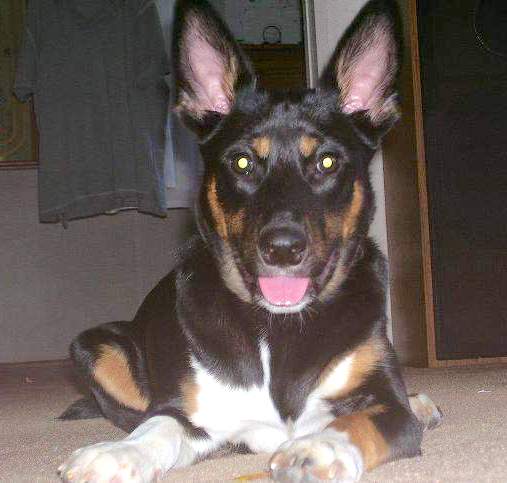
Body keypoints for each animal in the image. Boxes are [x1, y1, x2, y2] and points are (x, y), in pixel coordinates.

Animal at [57, 1, 442, 482]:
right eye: (241, 162)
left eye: (327, 161)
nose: (283, 249)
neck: (278, 329)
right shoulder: (190, 411)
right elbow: (158, 425)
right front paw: (117, 453)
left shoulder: (388, 407)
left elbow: (359, 420)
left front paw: (316, 448)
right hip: (96, 345)